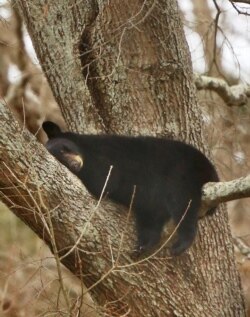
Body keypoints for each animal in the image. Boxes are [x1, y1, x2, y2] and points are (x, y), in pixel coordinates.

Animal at [42, 119, 218, 256]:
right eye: (61, 160)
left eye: (65, 148)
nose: (74, 164)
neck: (88, 151)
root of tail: (210, 171)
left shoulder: (109, 154)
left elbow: (106, 180)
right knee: (152, 218)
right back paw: (144, 244)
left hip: (182, 175)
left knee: (182, 204)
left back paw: (181, 243)